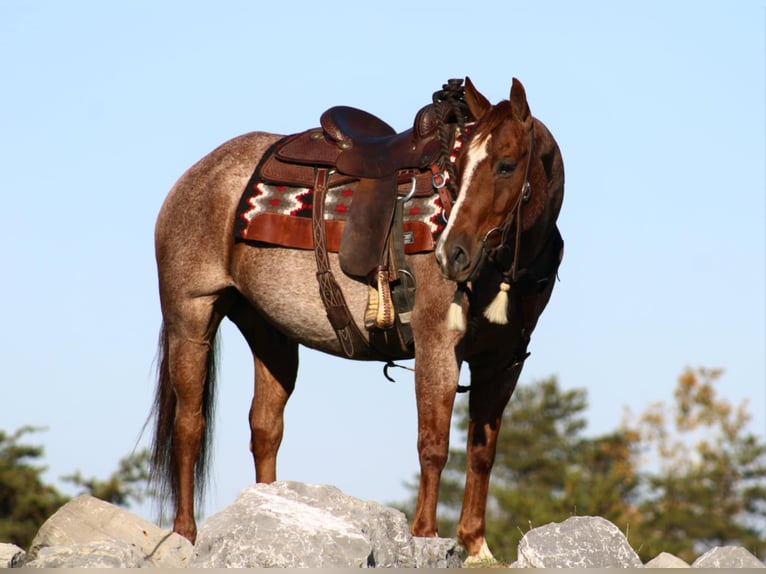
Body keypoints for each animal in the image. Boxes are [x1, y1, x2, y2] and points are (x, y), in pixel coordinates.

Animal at [148, 76, 564, 564]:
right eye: (459, 167)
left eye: (506, 165)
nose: (452, 253)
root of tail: (197, 175)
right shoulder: (438, 345)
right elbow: (433, 444)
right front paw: (426, 535)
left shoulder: (503, 362)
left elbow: (482, 451)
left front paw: (476, 546)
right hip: (190, 319)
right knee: (189, 426)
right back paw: (185, 534)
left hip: (270, 334)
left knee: (265, 428)